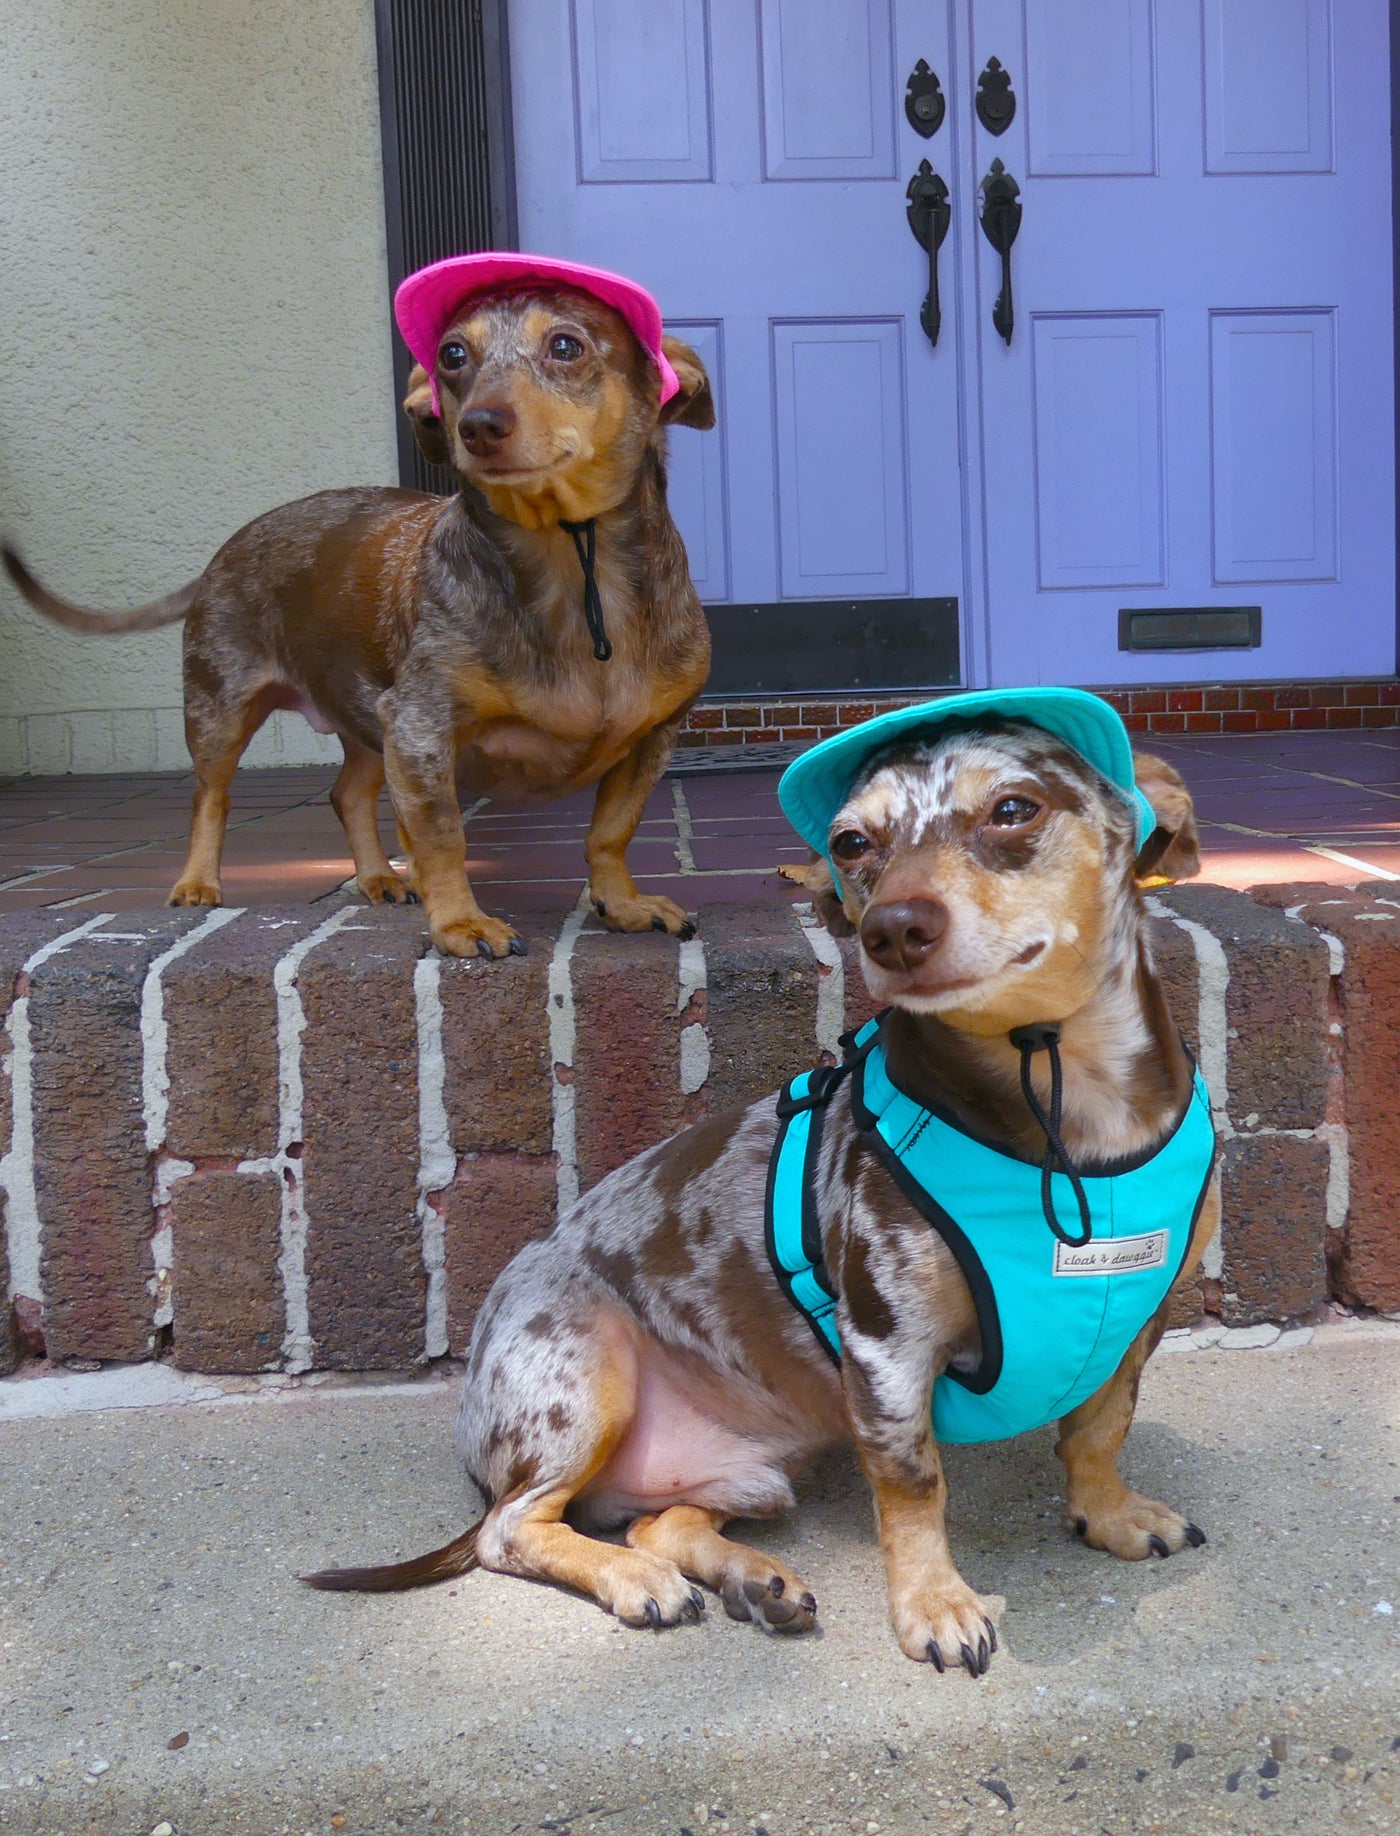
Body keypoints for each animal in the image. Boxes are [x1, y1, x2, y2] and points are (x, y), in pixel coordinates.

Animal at [2, 275, 711, 962]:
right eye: (453, 355)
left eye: (566, 346)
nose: (478, 425)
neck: (572, 561)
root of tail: (226, 550)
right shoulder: (421, 728)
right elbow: (443, 834)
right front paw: (460, 922)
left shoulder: (654, 736)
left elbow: (609, 832)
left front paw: (622, 903)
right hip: (222, 712)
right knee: (212, 798)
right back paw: (198, 882)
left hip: (366, 717)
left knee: (348, 796)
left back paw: (379, 878)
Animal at [310, 690, 1218, 1681]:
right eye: (852, 843)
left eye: (1014, 809)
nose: (890, 929)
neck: (1059, 1101)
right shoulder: (887, 1352)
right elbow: (916, 1486)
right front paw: (935, 1605)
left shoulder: (1138, 1320)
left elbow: (1100, 1427)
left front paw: (1112, 1512)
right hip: (583, 1382)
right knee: (510, 1531)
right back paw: (631, 1579)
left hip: (758, 1473)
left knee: (660, 1522)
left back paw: (753, 1579)